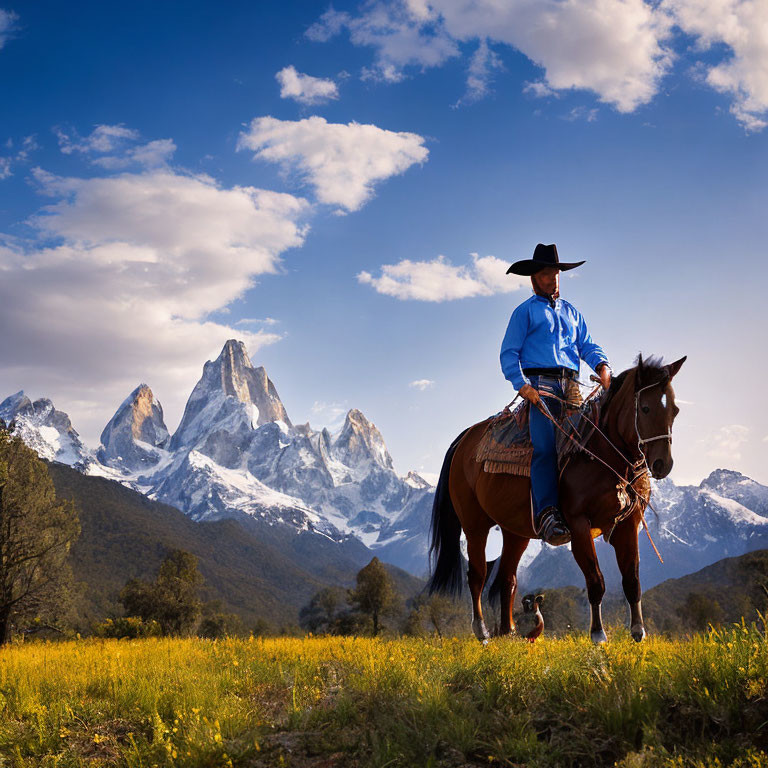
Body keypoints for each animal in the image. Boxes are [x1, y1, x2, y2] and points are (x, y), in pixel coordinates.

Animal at [428, 356, 688, 644]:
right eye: (645, 408)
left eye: (675, 410)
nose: (663, 464)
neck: (600, 453)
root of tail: (465, 439)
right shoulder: (578, 524)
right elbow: (595, 580)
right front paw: (598, 634)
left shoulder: (628, 523)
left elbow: (632, 579)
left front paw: (638, 632)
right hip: (474, 524)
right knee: (477, 575)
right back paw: (482, 631)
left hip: (516, 531)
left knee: (507, 578)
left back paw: (508, 632)